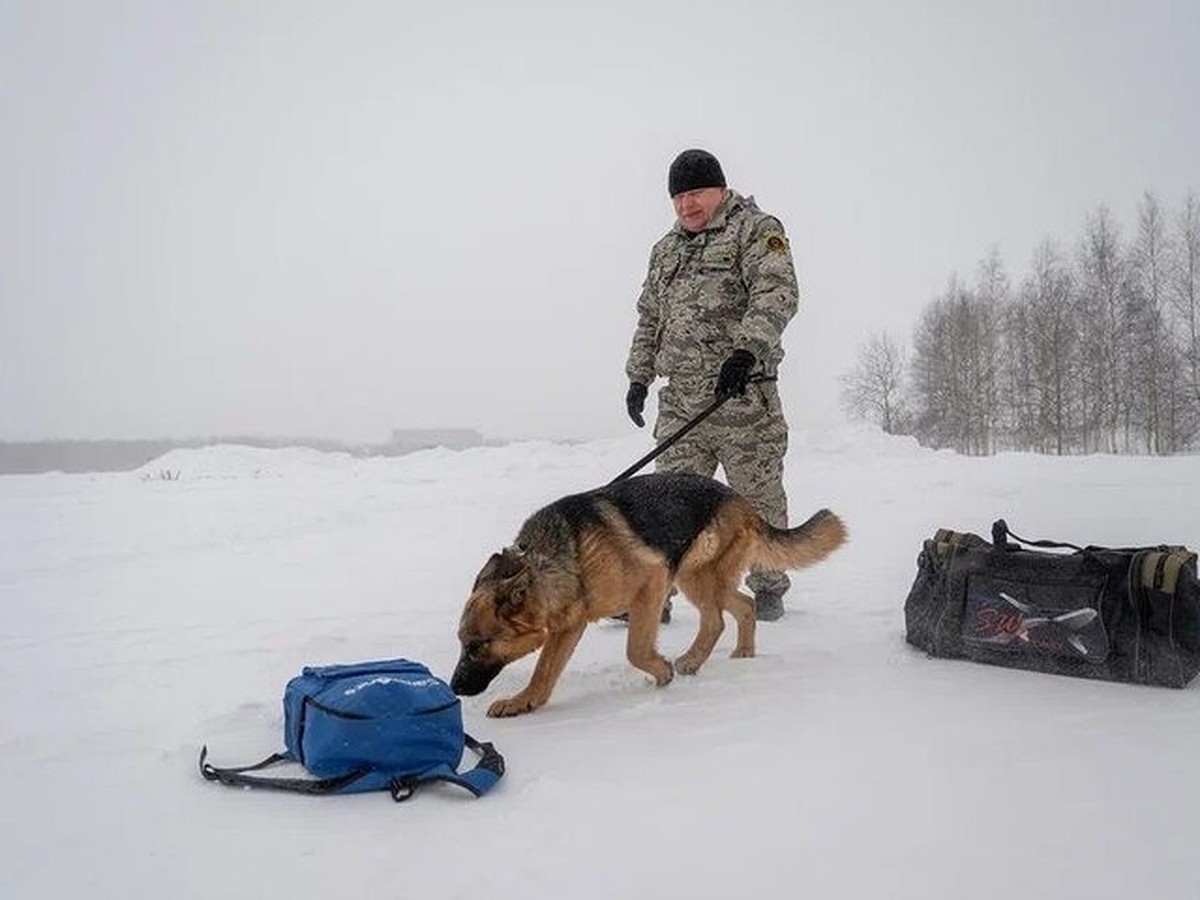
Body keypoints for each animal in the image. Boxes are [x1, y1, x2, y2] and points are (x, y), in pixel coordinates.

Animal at [448, 472, 844, 720]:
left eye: (479, 645)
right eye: (462, 643)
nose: (454, 687)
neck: (559, 558)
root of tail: (740, 499)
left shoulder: (652, 583)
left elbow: (636, 648)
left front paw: (662, 672)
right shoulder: (567, 627)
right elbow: (544, 672)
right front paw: (525, 702)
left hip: (692, 575)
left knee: (715, 619)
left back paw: (690, 661)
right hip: (699, 577)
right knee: (742, 605)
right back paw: (742, 653)